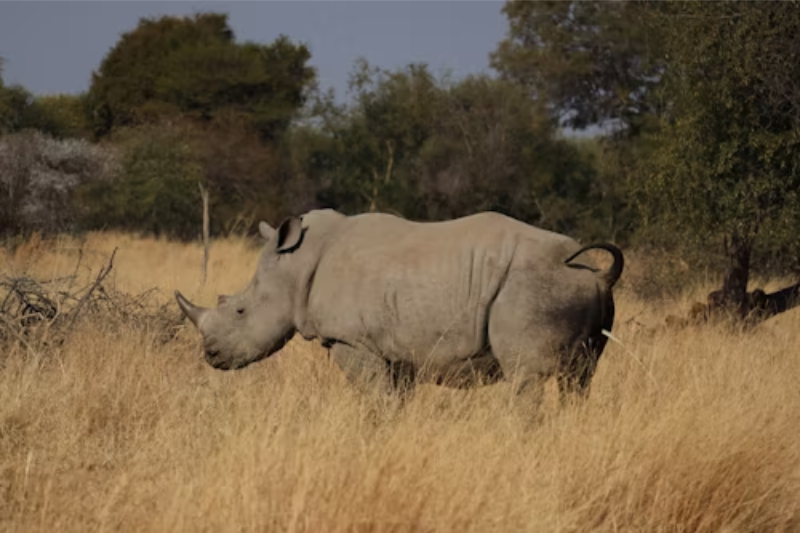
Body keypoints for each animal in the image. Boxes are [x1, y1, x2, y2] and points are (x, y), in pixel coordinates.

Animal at [175, 209, 624, 400]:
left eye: (239, 311)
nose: (210, 356)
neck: (297, 264)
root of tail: (596, 276)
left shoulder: (353, 341)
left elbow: (376, 400)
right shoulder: (397, 351)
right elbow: (396, 400)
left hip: (533, 286)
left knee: (524, 378)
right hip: (572, 291)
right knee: (580, 380)